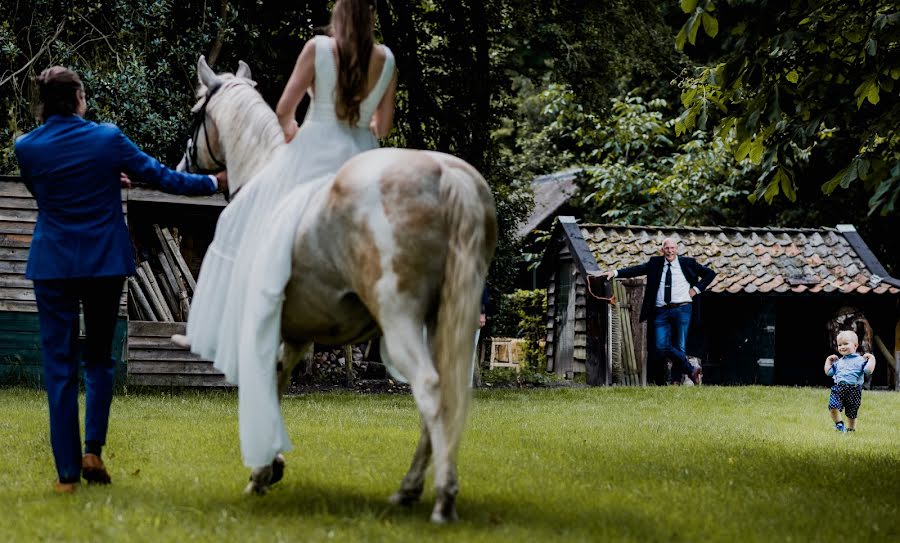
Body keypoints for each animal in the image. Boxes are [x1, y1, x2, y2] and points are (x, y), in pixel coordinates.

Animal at [179, 57, 496, 524]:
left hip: (401, 322)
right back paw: (408, 489)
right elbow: (278, 382)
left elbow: (265, 387)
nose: (184, 164)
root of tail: (446, 174)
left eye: (195, 111)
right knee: (444, 399)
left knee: (430, 390)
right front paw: (270, 466)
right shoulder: (294, 339)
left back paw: (441, 497)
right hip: (442, 322)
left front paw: (261, 470)